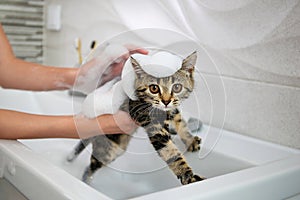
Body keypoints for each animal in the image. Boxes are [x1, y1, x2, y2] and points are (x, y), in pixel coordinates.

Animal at [67, 51, 204, 184]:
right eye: (154, 88)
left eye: (177, 87)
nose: (166, 101)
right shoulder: (153, 124)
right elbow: (170, 152)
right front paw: (189, 177)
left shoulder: (173, 110)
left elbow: (181, 123)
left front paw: (190, 140)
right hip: (109, 149)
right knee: (91, 167)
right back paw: (86, 181)